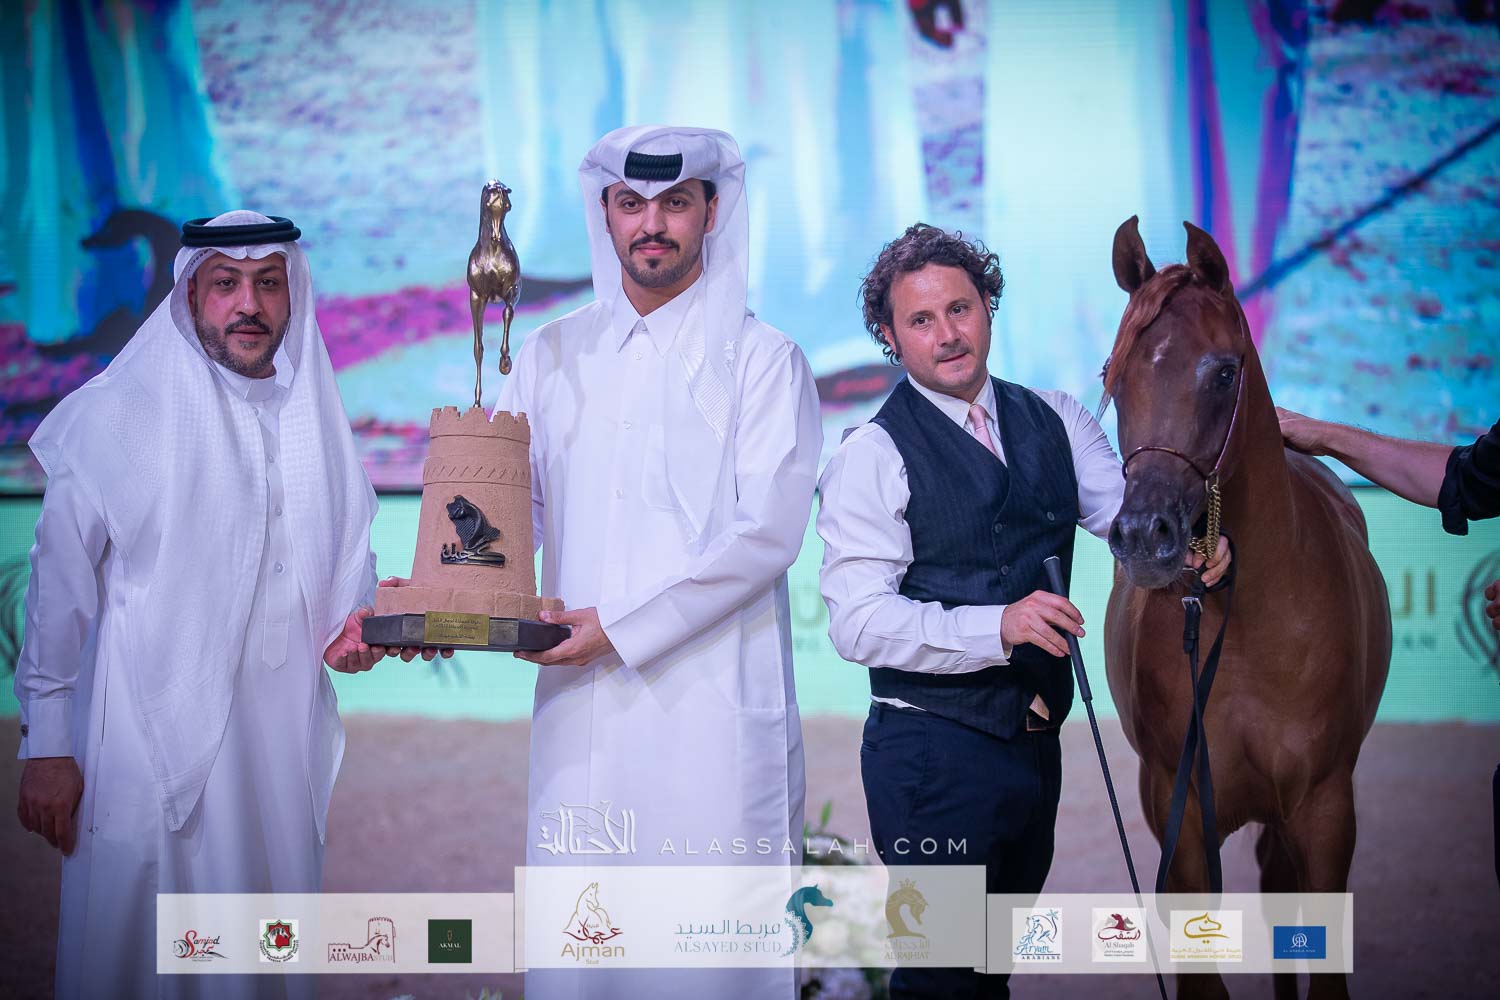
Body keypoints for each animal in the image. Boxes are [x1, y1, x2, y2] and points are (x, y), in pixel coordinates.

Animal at [1102, 217, 1391, 1000]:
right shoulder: (1180, 822)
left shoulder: (1325, 810)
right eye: (1115, 377)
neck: (1252, 633)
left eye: (1223, 373)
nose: (1143, 536)